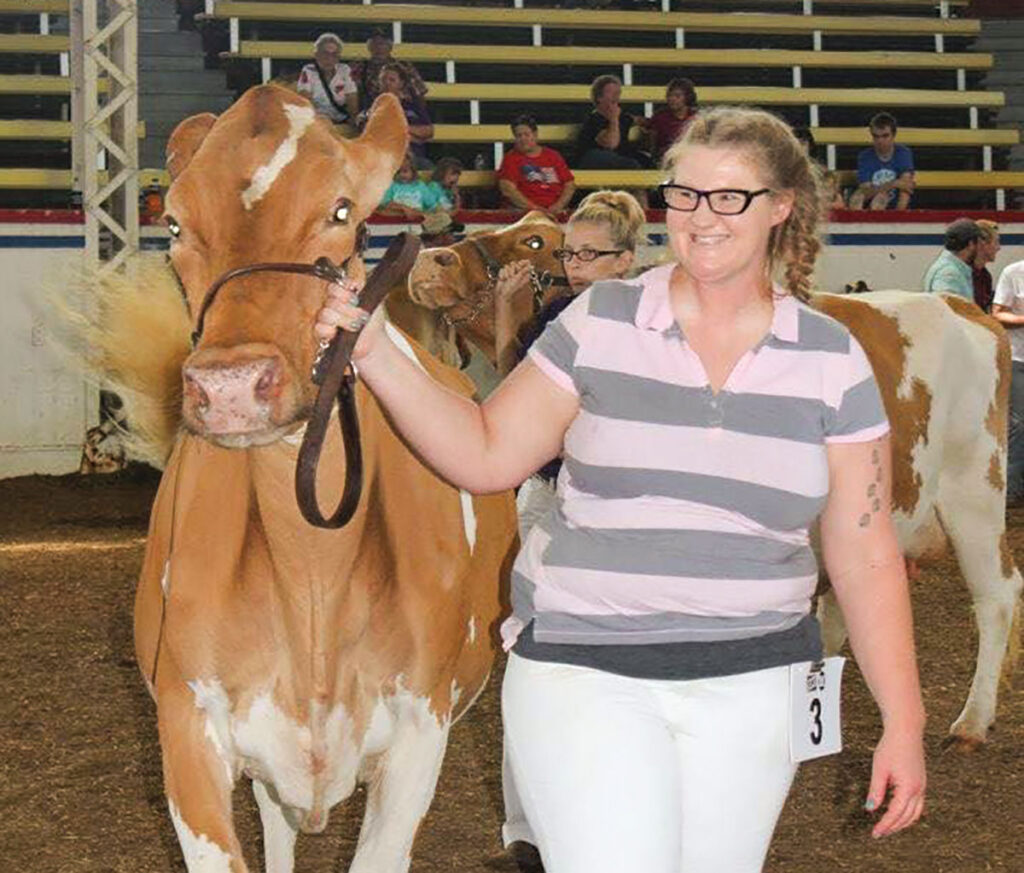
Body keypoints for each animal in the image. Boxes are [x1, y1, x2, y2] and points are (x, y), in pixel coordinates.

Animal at [114, 86, 520, 871]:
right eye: (173, 221)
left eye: (341, 211)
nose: (231, 385)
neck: (311, 572)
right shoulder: (186, 723)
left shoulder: (419, 732)